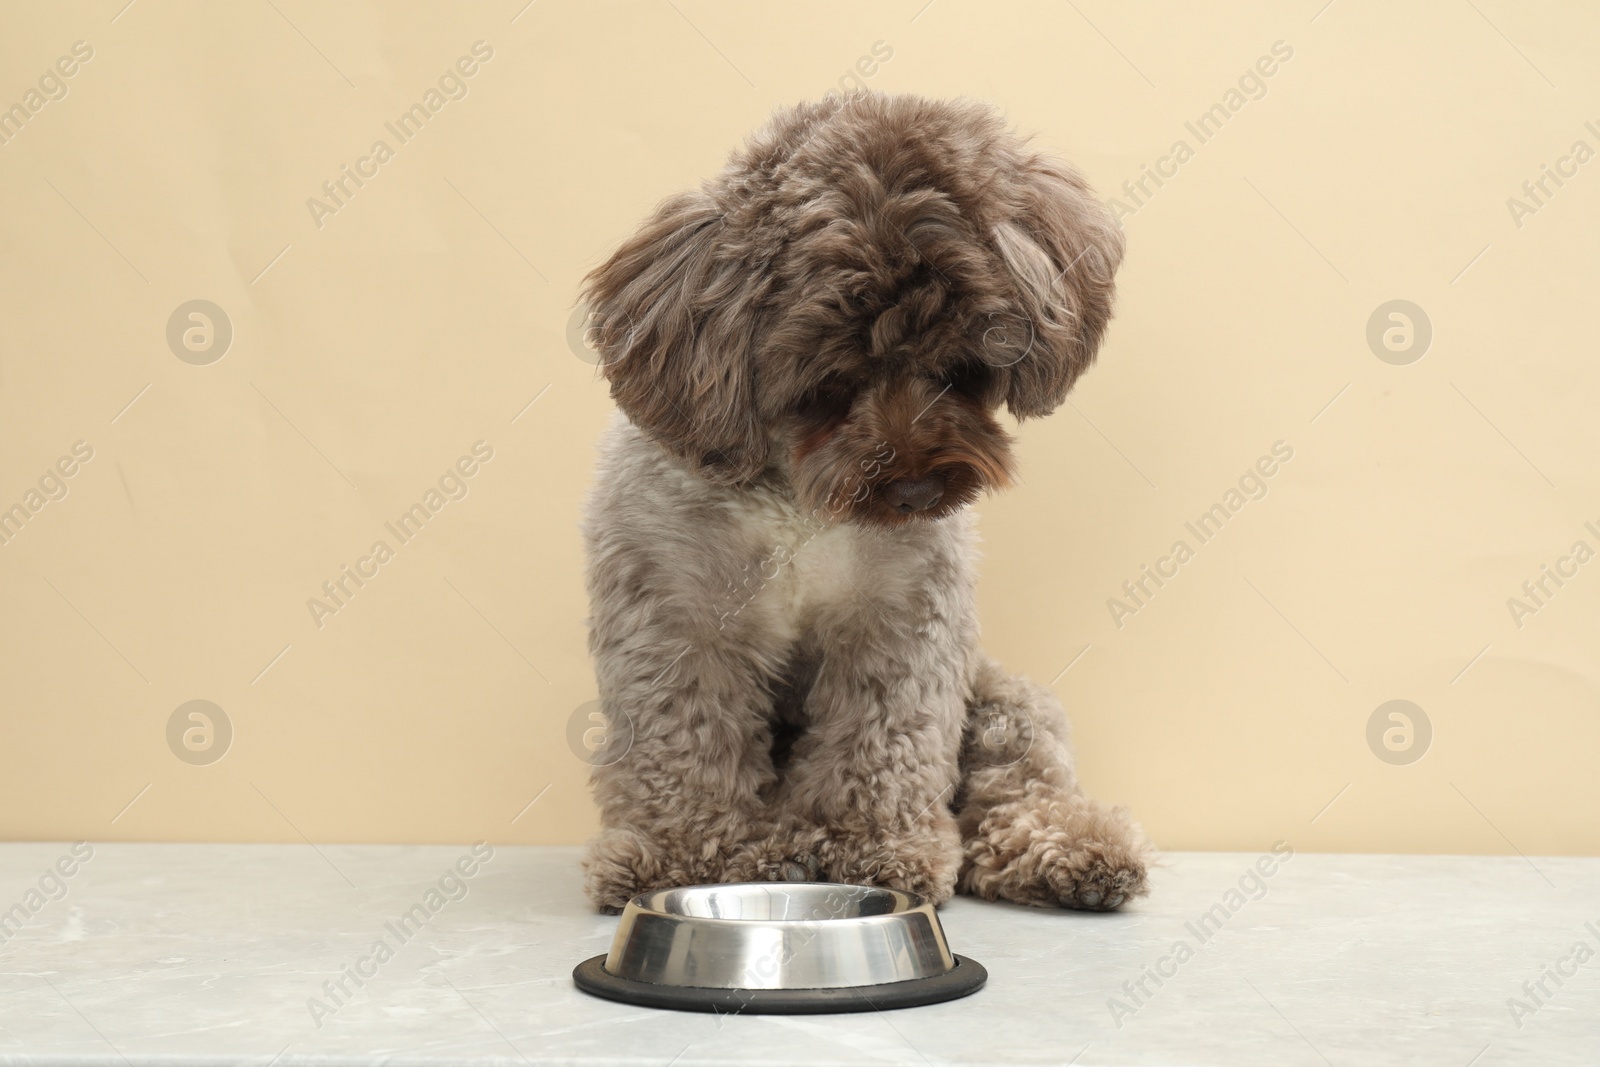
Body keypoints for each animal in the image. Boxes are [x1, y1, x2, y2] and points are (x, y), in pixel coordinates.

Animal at [576, 91, 1152, 915]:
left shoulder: (901, 617)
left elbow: (883, 740)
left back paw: (1069, 847)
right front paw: (680, 855)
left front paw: (872, 845)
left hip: (1000, 696)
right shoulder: (676, 618)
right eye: (829, 385)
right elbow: (680, 742)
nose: (915, 488)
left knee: (1015, 781)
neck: (800, 502)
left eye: (960, 369)